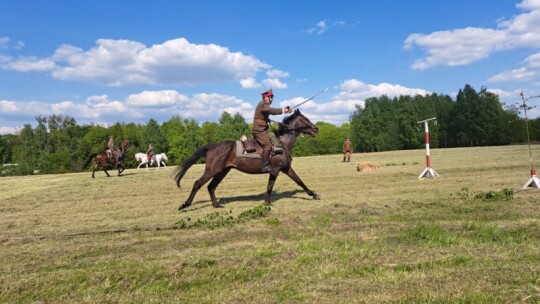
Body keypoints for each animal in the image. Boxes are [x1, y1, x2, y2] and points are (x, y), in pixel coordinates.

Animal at [175, 108, 320, 210]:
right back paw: (185, 204)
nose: (316, 129)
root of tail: (211, 146)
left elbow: (299, 181)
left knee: (211, 187)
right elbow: (270, 186)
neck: (281, 143)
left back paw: (216, 205)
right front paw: (267, 202)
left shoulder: (286, 168)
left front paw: (313, 194)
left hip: (222, 172)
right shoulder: (275, 170)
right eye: (306, 119)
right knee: (198, 184)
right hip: (212, 171)